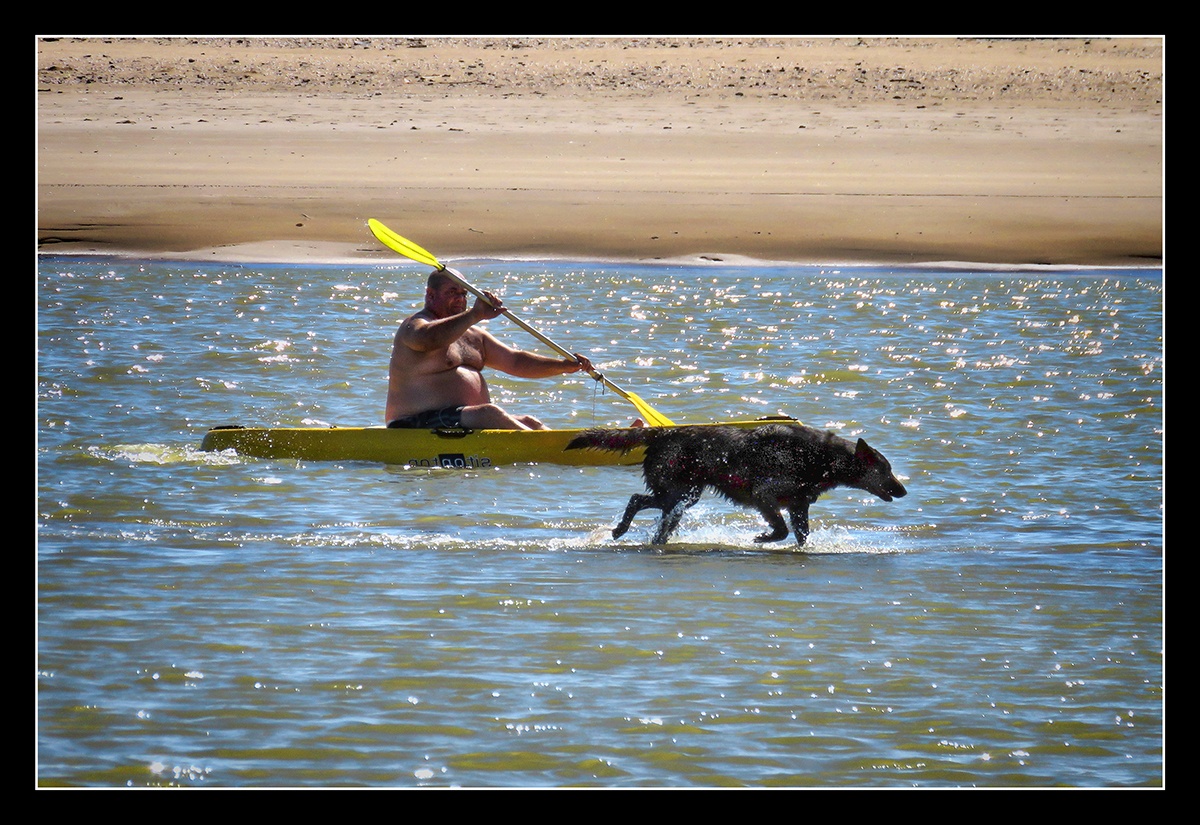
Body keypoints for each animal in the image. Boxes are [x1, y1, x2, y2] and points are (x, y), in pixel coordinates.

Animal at [566, 424, 902, 546]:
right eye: (885, 469)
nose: (903, 490)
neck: (823, 458)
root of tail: (661, 432)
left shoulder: (798, 505)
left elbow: (801, 535)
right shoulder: (765, 495)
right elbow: (781, 529)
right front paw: (764, 538)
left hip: (682, 496)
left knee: (656, 517)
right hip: (678, 492)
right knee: (637, 499)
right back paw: (621, 530)